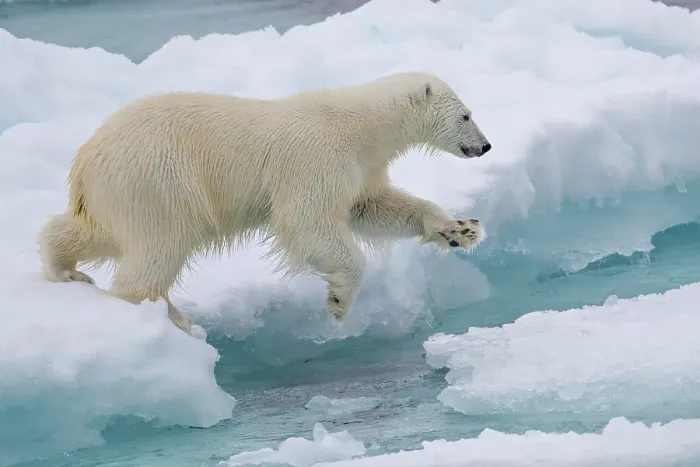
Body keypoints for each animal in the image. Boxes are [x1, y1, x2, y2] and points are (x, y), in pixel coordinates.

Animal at [36, 71, 492, 335]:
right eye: (466, 115)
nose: (485, 146)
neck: (362, 124)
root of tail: (87, 161)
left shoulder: (361, 166)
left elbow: (373, 207)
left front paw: (460, 230)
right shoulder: (316, 157)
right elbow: (307, 220)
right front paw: (338, 302)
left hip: (114, 195)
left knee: (94, 231)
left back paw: (65, 269)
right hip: (160, 182)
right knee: (159, 248)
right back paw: (177, 320)